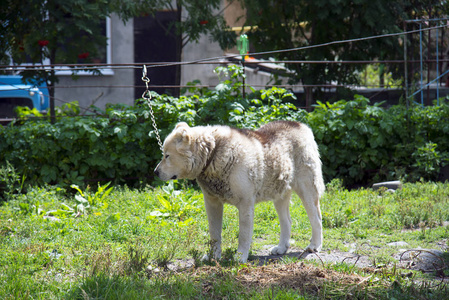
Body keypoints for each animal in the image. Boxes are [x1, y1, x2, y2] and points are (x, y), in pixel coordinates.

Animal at [154, 120, 322, 262]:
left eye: (167, 156)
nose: (155, 172)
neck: (213, 153)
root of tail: (301, 125)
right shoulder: (212, 203)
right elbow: (214, 233)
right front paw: (212, 256)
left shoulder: (245, 204)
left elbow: (244, 235)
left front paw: (240, 257)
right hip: (279, 194)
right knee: (287, 221)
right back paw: (281, 248)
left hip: (307, 191)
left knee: (317, 219)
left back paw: (314, 246)